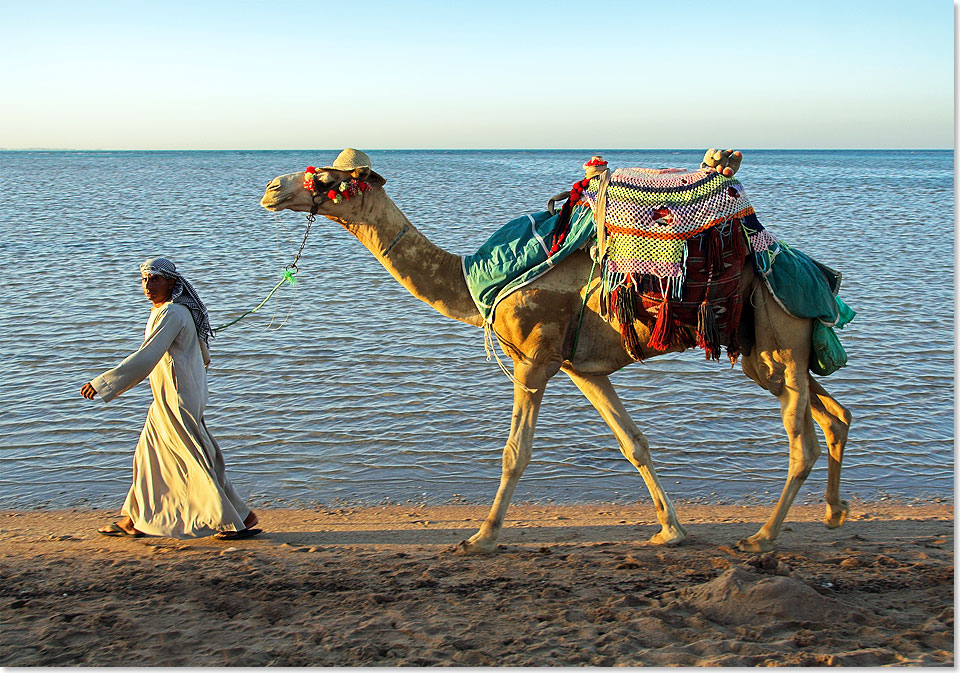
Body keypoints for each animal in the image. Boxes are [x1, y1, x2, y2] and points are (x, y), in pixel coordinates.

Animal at [258, 150, 852, 552]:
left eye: (328, 178)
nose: (271, 188)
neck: (475, 279)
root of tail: (820, 277)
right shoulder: (581, 367)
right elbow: (634, 443)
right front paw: (671, 530)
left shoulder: (534, 359)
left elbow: (514, 453)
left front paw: (482, 536)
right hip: (771, 353)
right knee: (834, 416)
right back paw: (833, 512)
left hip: (779, 339)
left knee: (803, 440)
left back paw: (764, 535)